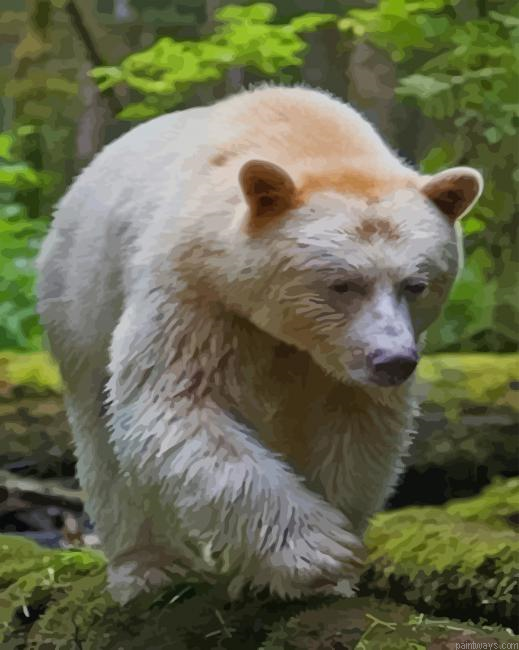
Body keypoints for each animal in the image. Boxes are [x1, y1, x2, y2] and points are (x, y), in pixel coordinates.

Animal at [37, 85, 483, 605]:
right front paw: (319, 550)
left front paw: (321, 572)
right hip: (80, 300)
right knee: (102, 436)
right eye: (342, 284)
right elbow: (176, 403)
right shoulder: (197, 291)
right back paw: (149, 568)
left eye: (416, 284)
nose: (392, 361)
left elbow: (355, 430)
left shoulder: (339, 367)